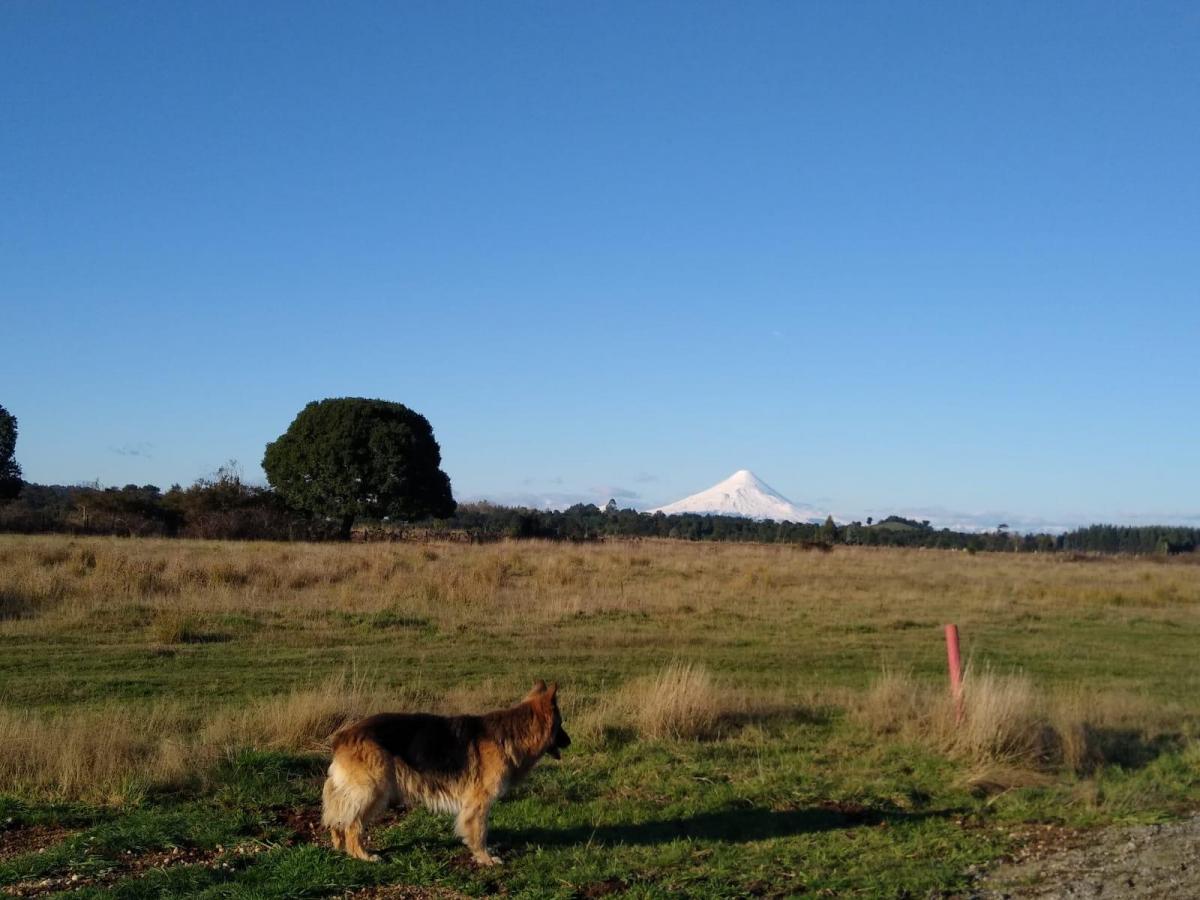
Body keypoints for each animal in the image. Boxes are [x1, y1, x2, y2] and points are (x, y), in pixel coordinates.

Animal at [321, 681, 568, 868]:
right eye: (561, 725)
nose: (570, 741)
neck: (513, 733)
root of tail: (343, 735)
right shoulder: (479, 803)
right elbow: (480, 832)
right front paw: (485, 858)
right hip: (373, 791)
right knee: (352, 825)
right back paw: (363, 855)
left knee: (339, 819)